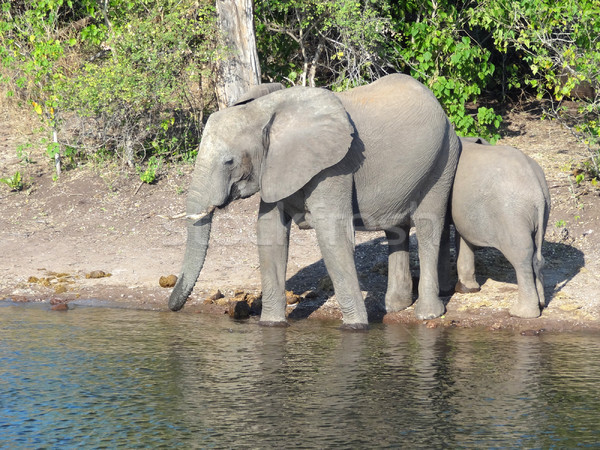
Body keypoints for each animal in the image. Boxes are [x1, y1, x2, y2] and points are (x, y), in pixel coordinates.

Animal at [170, 73, 464, 326]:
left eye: (229, 161)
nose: (172, 307)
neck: (264, 110)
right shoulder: (275, 166)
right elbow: (270, 234)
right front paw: (271, 325)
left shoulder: (334, 167)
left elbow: (333, 235)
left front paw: (356, 328)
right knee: (396, 231)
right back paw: (395, 307)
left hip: (444, 157)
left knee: (427, 228)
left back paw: (427, 314)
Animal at [448, 139, 552, 318]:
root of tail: (537, 189)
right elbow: (463, 235)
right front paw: (467, 290)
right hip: (543, 209)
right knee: (537, 253)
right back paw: (541, 304)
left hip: (511, 214)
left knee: (521, 255)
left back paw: (520, 313)